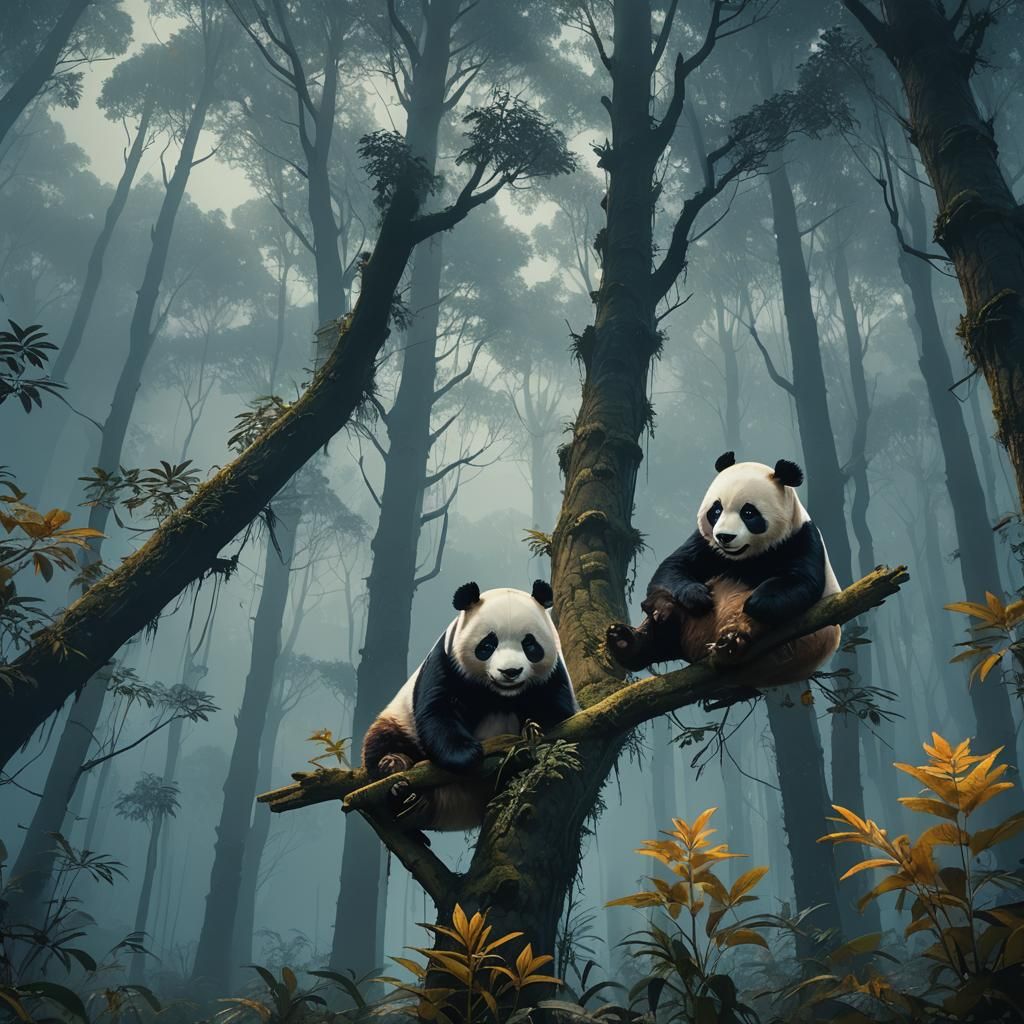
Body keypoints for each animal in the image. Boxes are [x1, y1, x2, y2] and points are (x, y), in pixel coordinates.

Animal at [362, 579, 578, 831]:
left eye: (530, 645)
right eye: (488, 645)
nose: (510, 672)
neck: (500, 695)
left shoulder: (552, 675)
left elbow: (559, 714)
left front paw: (532, 731)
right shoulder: (446, 662)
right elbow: (438, 710)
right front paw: (468, 754)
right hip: (399, 720)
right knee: (381, 741)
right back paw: (399, 779)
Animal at [606, 452, 841, 687]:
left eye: (749, 512)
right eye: (716, 510)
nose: (724, 537)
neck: (746, 557)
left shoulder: (801, 538)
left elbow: (800, 582)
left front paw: (754, 602)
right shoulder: (706, 544)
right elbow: (674, 565)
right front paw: (695, 596)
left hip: (791, 647)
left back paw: (733, 641)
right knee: (661, 633)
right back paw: (627, 639)